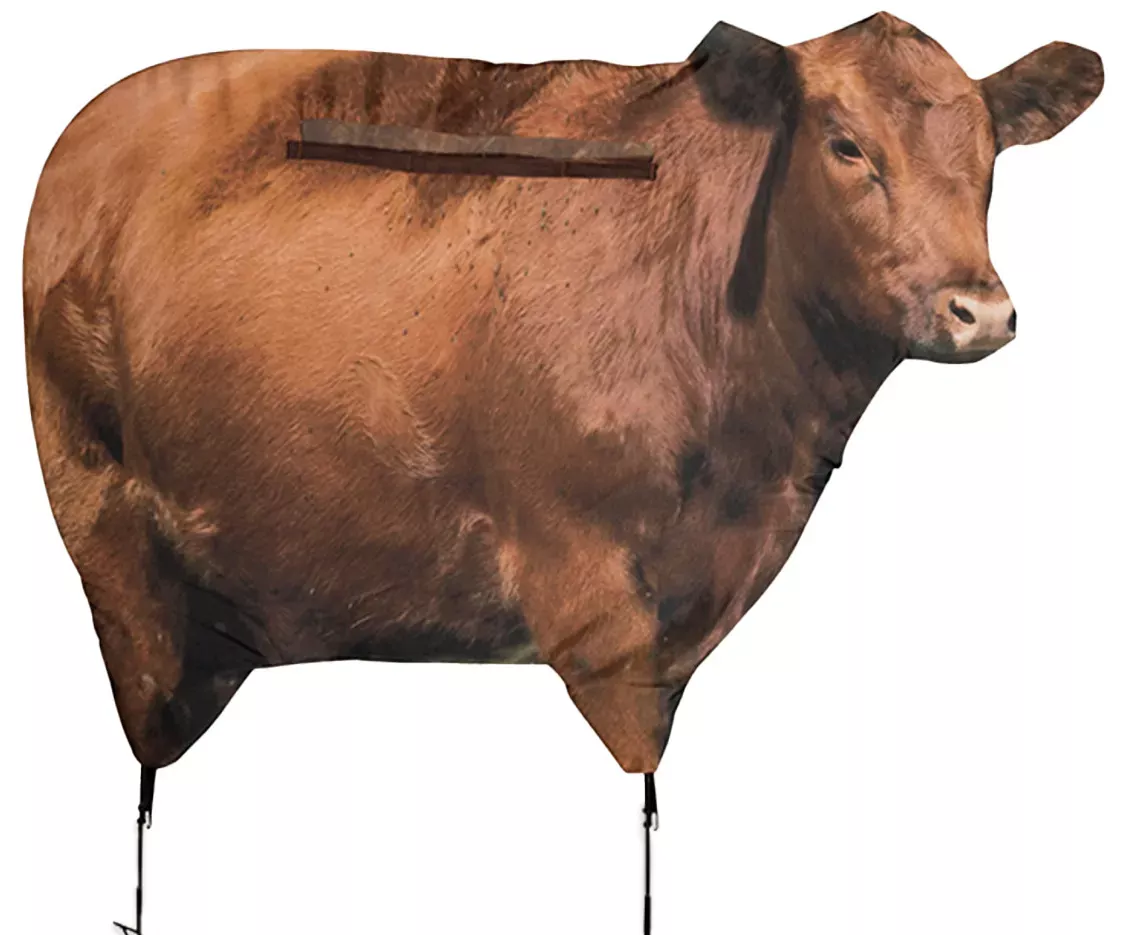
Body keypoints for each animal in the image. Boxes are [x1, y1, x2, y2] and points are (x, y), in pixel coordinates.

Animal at [23, 13, 1102, 786]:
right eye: (845, 146)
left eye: (991, 153)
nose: (978, 309)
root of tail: (88, 127)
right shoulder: (573, 564)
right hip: (102, 519)